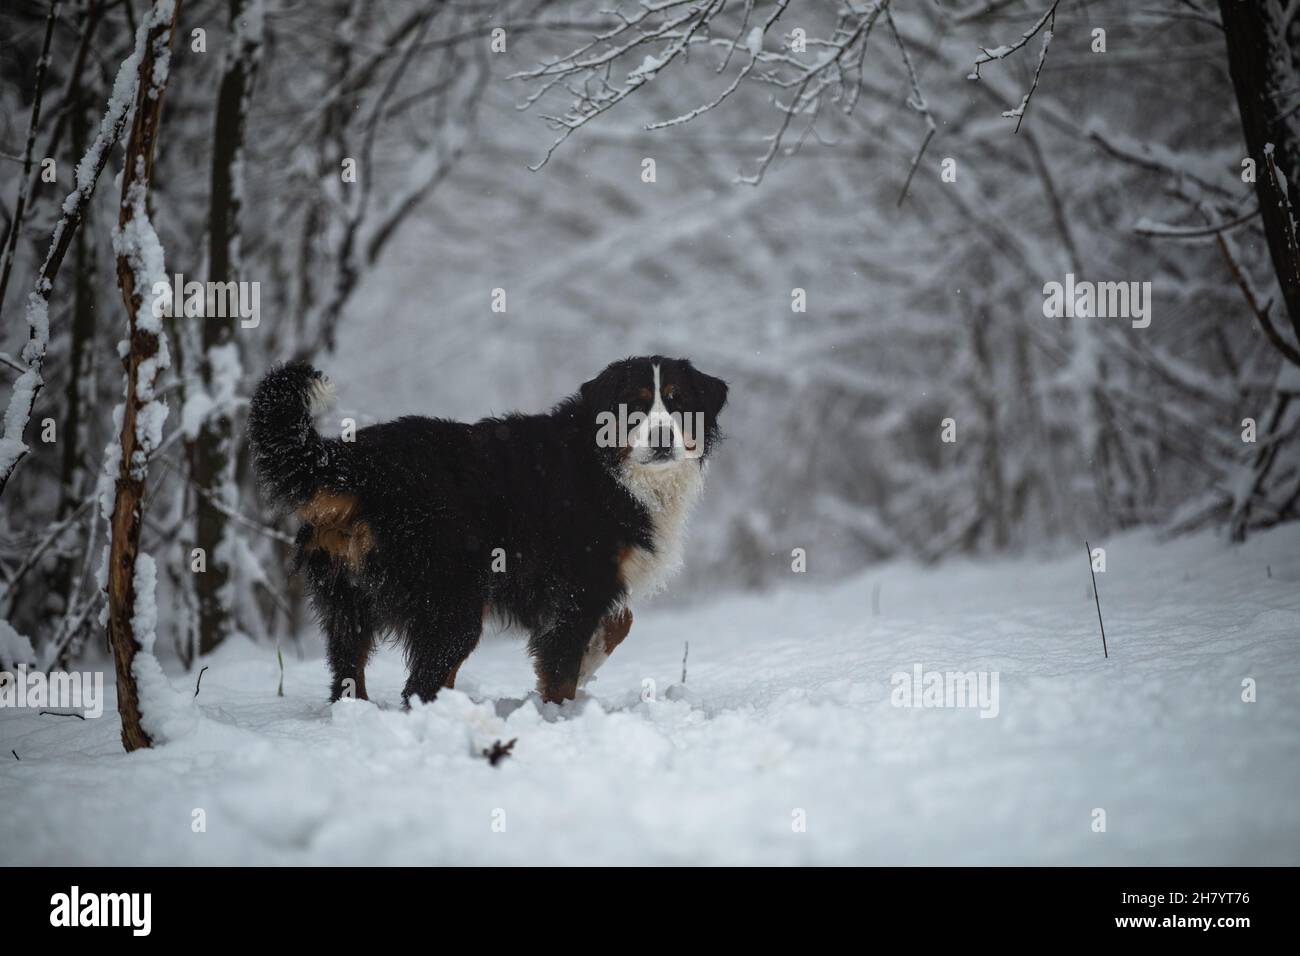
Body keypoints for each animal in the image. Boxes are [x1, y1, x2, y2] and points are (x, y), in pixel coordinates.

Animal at [248, 356, 728, 707]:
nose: (663, 437)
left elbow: (620, 622)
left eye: (678, 401)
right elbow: (563, 665)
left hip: (349, 602)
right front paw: (562, 713)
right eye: (634, 406)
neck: (612, 470)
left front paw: (589, 664)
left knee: (351, 675)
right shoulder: (577, 585)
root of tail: (356, 462)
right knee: (421, 684)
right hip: (450, 603)